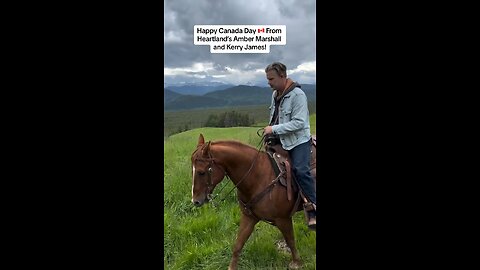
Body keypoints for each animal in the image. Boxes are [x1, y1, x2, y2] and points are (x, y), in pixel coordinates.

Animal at [190, 134, 312, 268]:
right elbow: (238, 245)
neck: (258, 177)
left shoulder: (283, 219)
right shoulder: (249, 217)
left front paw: (296, 262)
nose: (195, 201)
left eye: (201, 172)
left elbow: (290, 240)